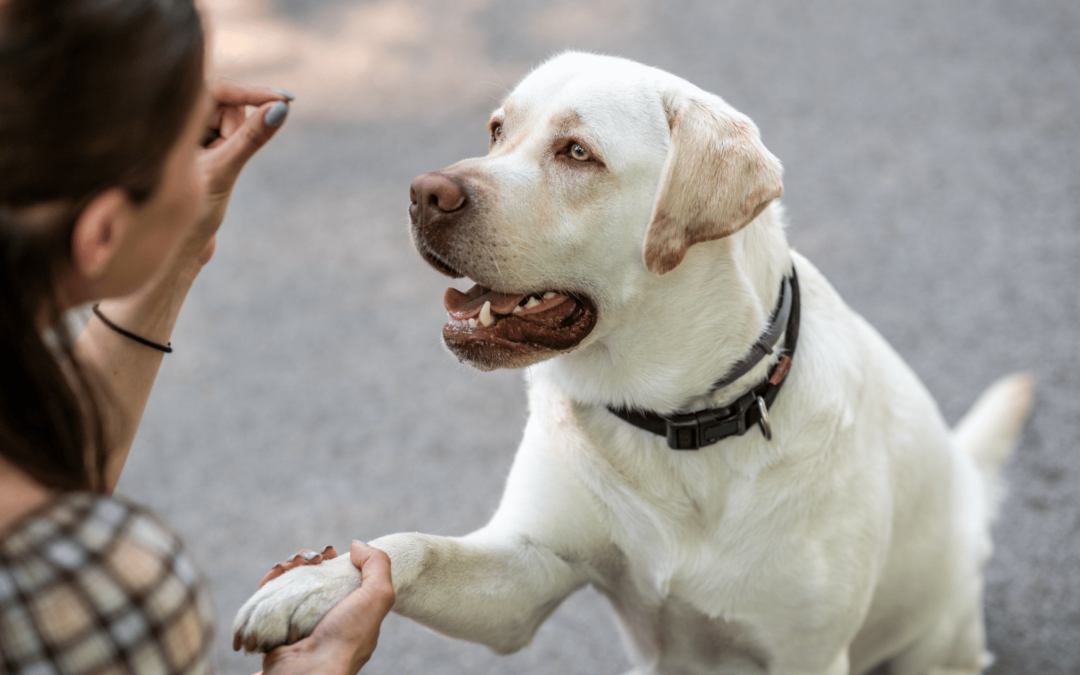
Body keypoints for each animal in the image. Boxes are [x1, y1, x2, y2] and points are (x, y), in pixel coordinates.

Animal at [234, 54, 1028, 673]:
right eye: (497, 130)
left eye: (577, 153)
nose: (423, 193)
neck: (677, 421)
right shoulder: (526, 573)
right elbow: (411, 549)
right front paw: (314, 586)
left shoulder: (805, 653)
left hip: (938, 637)